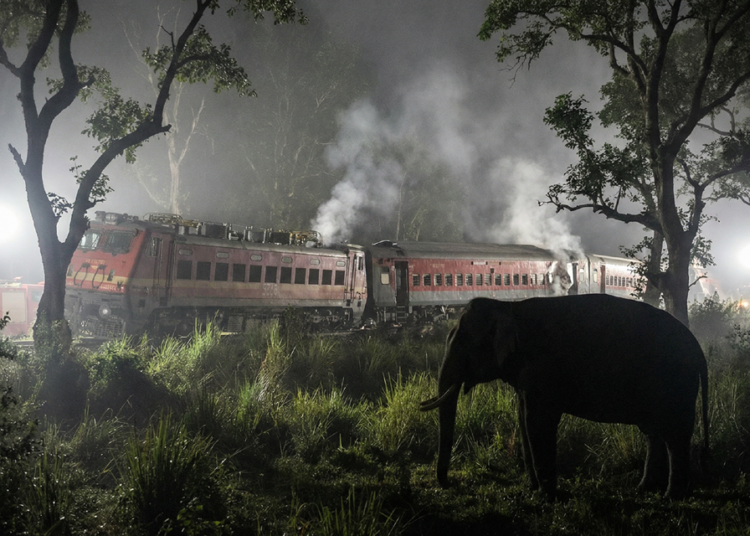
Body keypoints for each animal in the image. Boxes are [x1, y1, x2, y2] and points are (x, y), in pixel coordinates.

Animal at [420, 295, 709, 499]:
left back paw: (671, 496)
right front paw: (533, 488)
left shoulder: (542, 369)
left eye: (462, 343)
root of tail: (698, 348)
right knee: (653, 433)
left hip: (676, 384)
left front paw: (547, 495)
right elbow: (524, 419)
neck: (508, 307)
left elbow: (538, 422)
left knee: (675, 435)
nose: (448, 484)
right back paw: (644, 490)